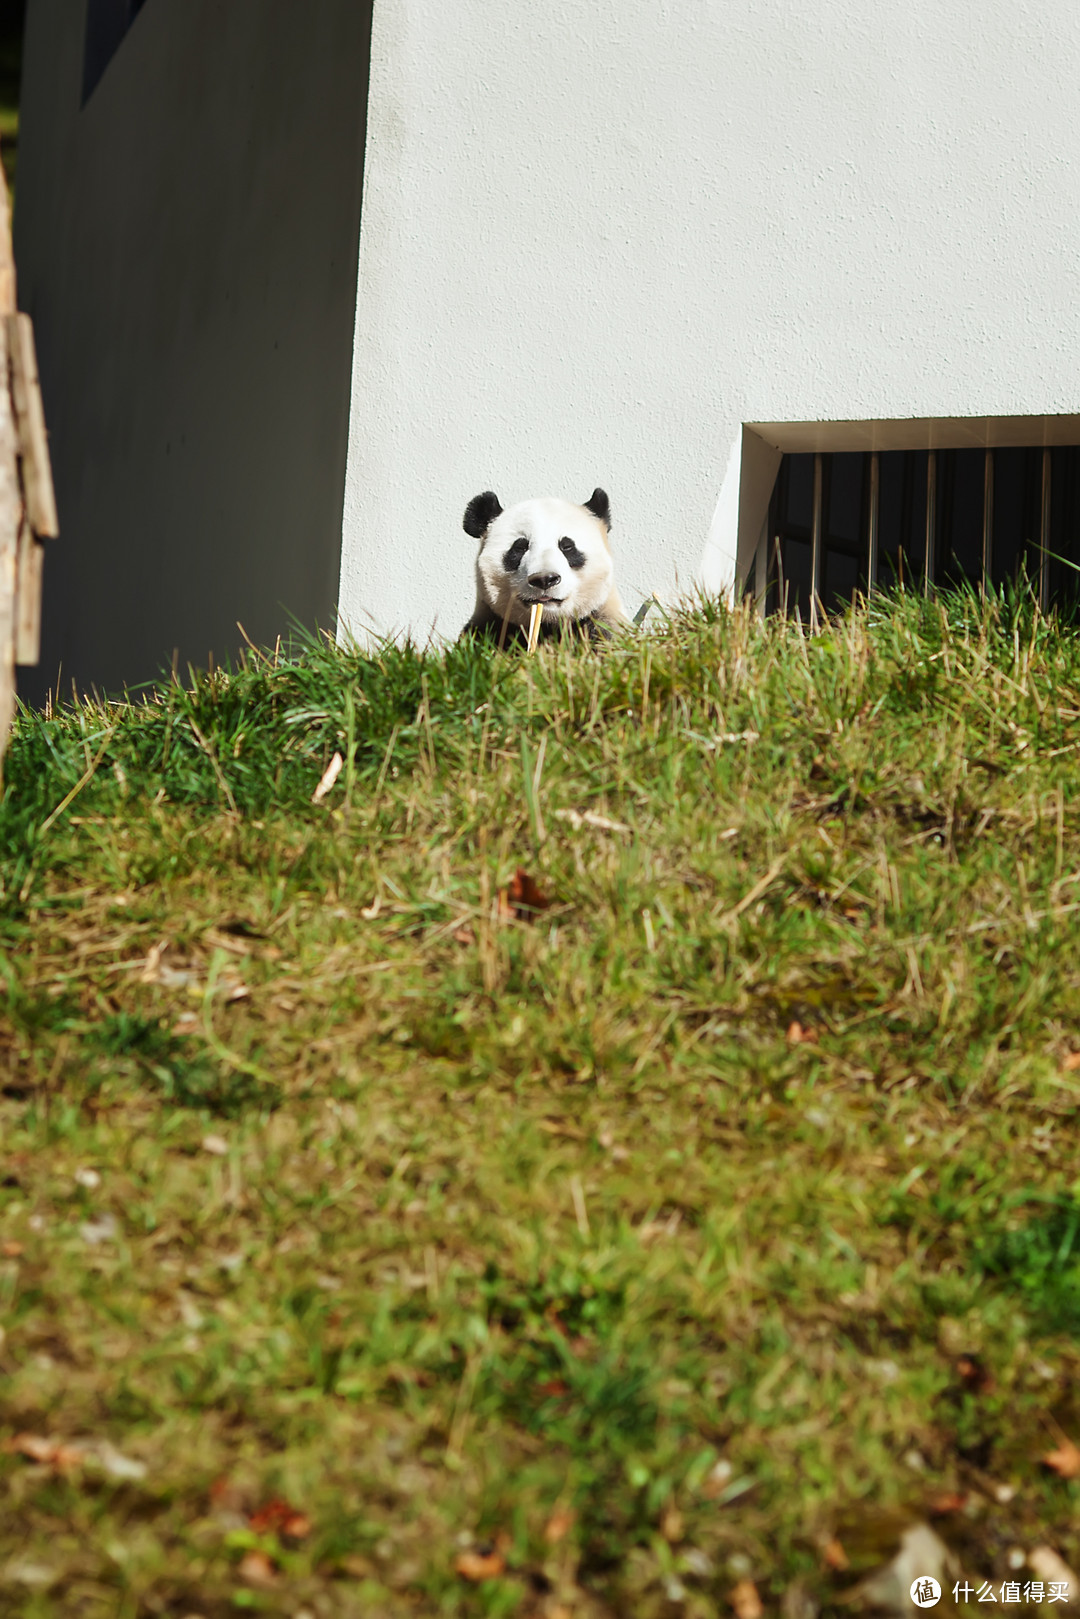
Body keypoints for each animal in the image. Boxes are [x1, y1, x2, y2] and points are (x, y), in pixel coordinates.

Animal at [459, 485, 628, 644]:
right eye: (520, 547)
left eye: (567, 546)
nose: (544, 579)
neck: (547, 624)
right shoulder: (489, 628)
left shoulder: (603, 622)